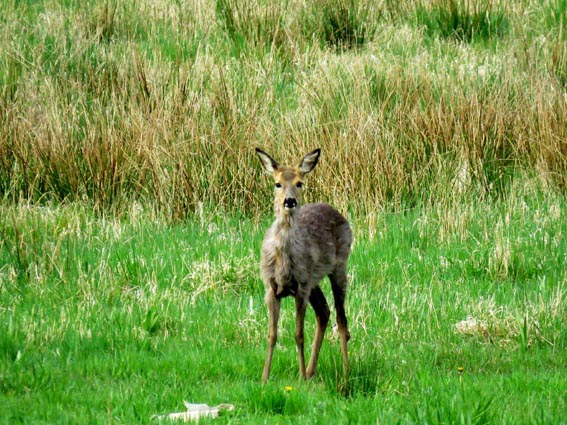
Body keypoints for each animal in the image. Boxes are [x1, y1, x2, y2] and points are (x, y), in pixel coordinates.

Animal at [256, 147, 352, 382]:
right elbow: (272, 334)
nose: (289, 201)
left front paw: (299, 377)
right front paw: (264, 378)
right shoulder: (271, 288)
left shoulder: (300, 287)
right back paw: (310, 371)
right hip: (314, 280)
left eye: (299, 182)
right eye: (277, 183)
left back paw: (344, 372)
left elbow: (298, 334)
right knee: (324, 312)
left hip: (339, 266)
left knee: (341, 319)